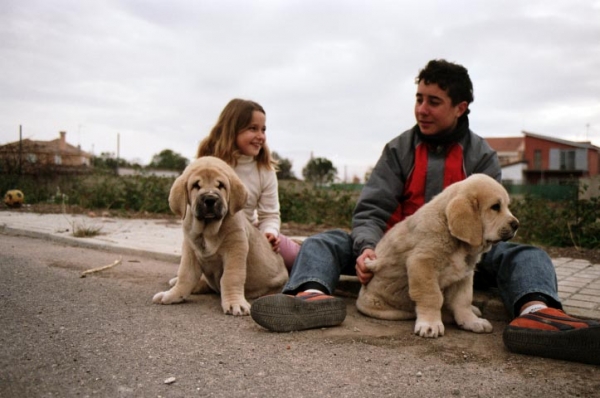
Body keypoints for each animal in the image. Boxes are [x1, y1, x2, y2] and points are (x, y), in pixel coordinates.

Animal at [152, 157, 288, 316]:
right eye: (196, 185)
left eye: (221, 185)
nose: (210, 199)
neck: (207, 231)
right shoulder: (190, 250)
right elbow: (185, 275)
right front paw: (173, 295)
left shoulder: (235, 248)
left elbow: (231, 277)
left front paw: (235, 303)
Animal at [356, 173, 520, 336]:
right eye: (495, 207)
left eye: (506, 206)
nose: (516, 225)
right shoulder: (422, 264)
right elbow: (432, 296)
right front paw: (430, 324)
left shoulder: (464, 273)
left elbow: (463, 300)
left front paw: (471, 321)